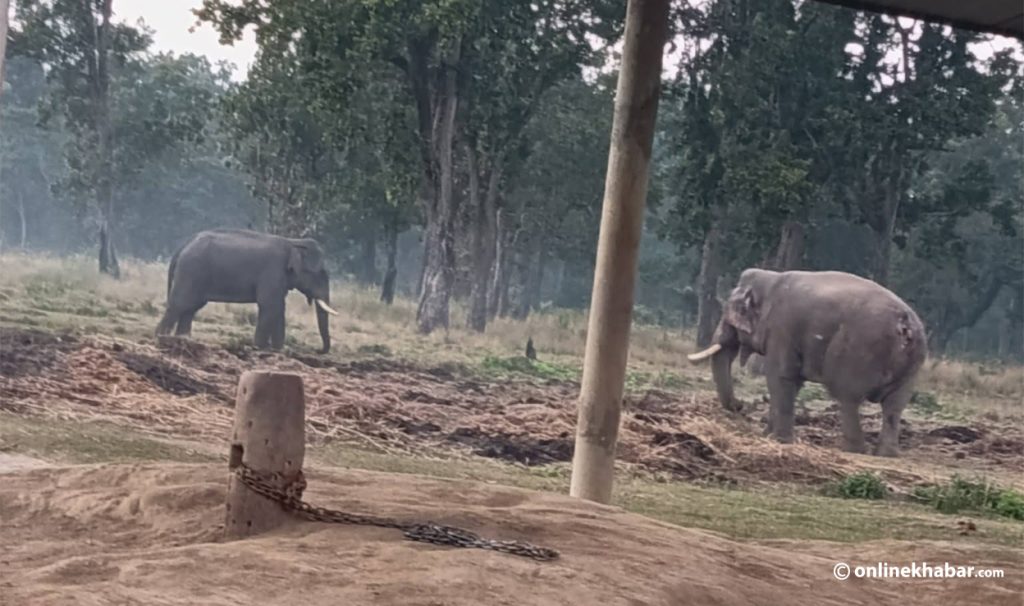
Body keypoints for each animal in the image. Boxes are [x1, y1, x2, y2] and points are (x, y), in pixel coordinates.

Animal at [155, 228, 338, 353]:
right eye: (321, 273)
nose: (318, 350)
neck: (293, 242)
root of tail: (184, 245)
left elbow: (279, 308)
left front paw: (277, 350)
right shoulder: (272, 272)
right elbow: (270, 306)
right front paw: (260, 347)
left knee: (190, 308)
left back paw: (183, 339)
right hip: (191, 271)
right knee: (179, 304)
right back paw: (161, 337)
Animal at [687, 268, 927, 457]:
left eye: (729, 318)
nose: (740, 406)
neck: (771, 278)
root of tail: (904, 323)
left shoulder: (781, 328)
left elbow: (780, 377)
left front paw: (780, 440)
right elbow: (792, 383)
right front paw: (768, 435)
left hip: (859, 351)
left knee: (847, 397)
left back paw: (854, 450)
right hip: (913, 364)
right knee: (894, 406)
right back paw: (886, 454)